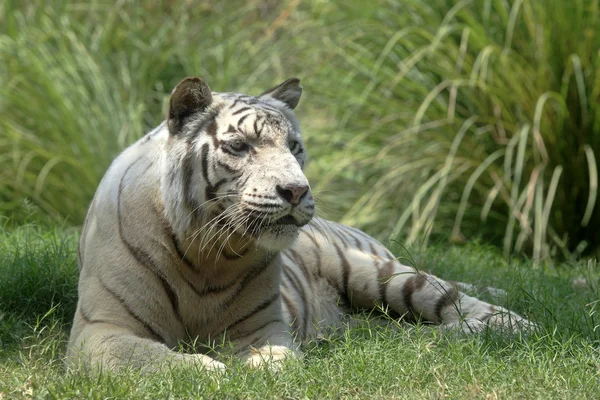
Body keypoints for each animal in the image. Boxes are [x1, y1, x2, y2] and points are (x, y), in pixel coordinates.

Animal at [65, 76, 536, 372]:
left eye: (294, 146)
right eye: (240, 146)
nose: (296, 190)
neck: (205, 253)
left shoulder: (261, 328)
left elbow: (277, 361)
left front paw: (255, 369)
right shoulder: (102, 330)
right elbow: (155, 361)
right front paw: (211, 371)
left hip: (383, 275)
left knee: (461, 300)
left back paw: (502, 328)